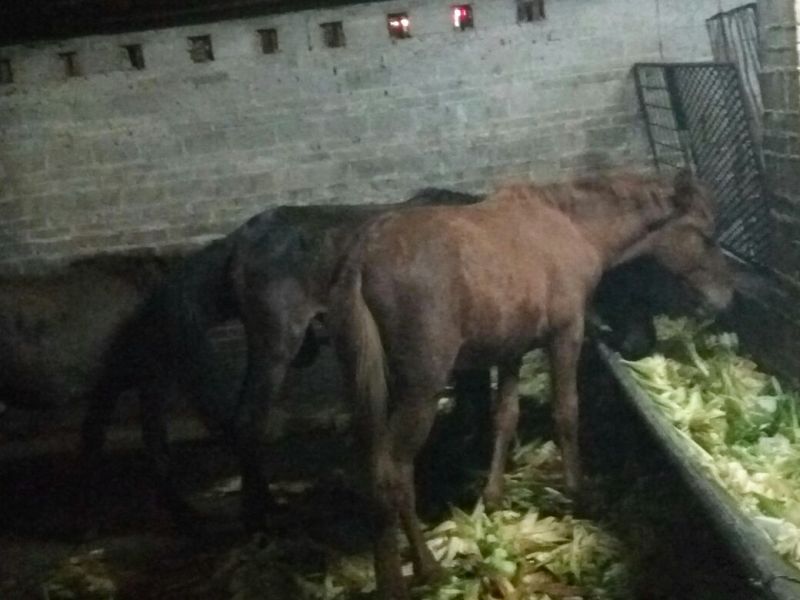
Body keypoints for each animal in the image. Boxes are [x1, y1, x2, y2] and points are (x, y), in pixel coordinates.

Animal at [326, 170, 734, 600]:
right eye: (705, 235)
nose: (725, 299)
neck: (571, 225)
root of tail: (362, 256)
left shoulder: (512, 350)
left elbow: (506, 417)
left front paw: (493, 497)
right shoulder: (567, 335)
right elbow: (566, 411)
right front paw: (577, 491)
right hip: (420, 389)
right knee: (394, 472)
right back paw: (422, 569)